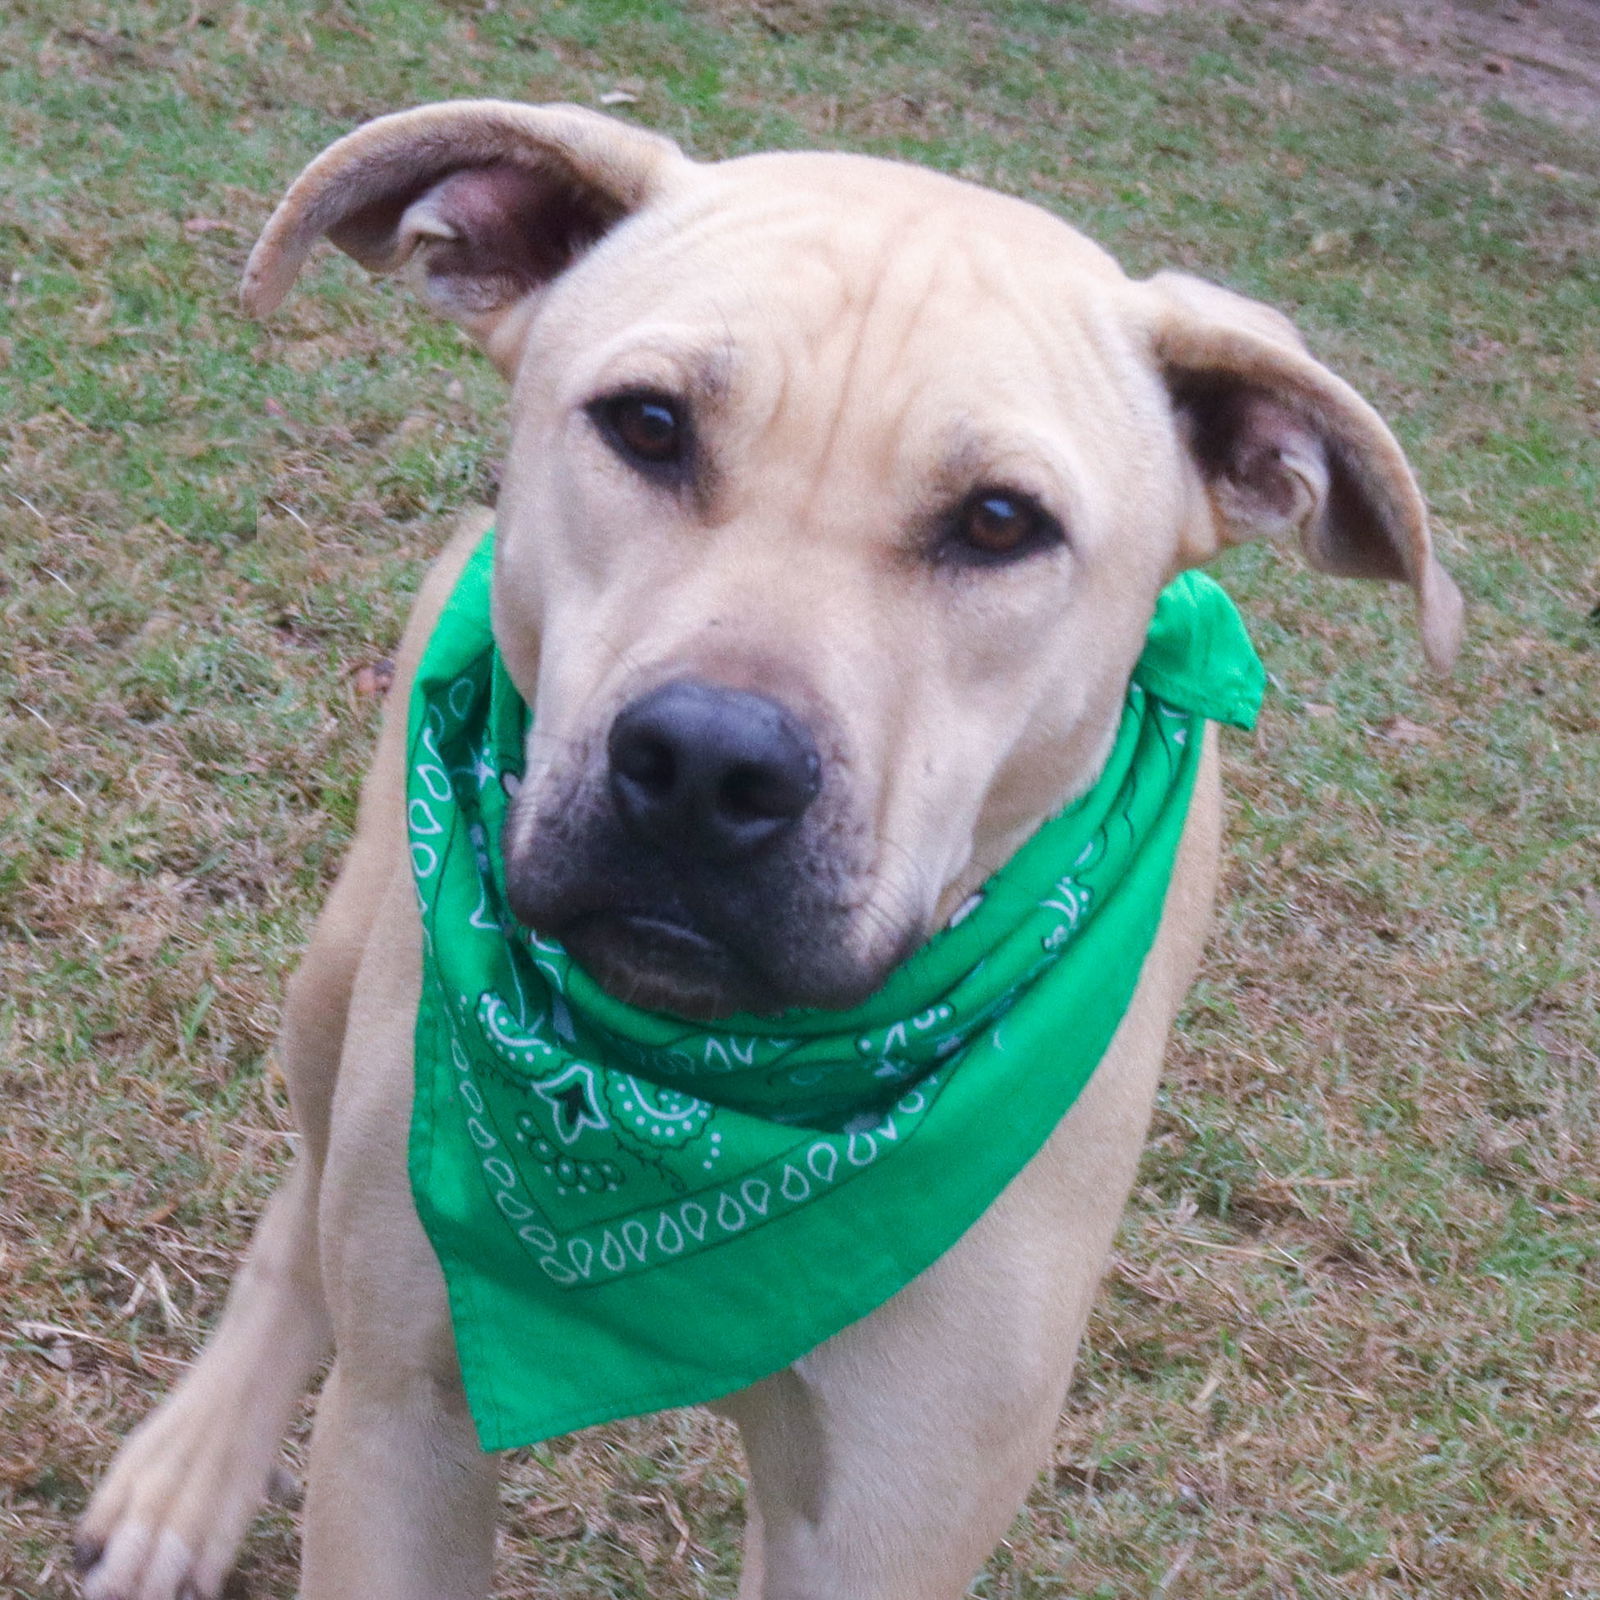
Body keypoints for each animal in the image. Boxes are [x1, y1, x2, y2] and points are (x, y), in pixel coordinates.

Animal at [75, 103, 1465, 1600]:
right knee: (305, 1199)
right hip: (351, 962)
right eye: (647, 424)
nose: (705, 768)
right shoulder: (408, 1424)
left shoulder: (880, 1524)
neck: (725, 1097)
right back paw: (188, 1479)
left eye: (1000, 522)